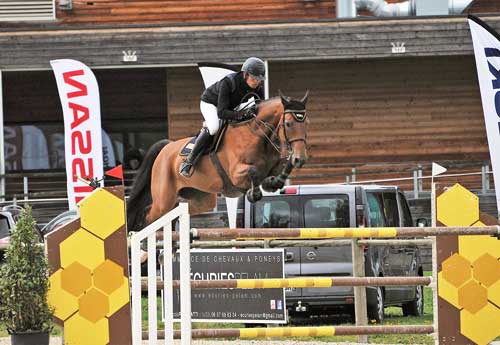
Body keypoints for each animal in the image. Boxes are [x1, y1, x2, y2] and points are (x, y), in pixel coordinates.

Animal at [126, 91, 308, 231]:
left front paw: (273, 183)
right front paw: (253, 193)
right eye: (288, 124)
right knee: (149, 215)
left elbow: (281, 169)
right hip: (163, 200)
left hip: (200, 199)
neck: (258, 135)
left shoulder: (273, 166)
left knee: (175, 214)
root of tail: (165, 148)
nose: (301, 158)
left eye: (307, 123)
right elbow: (253, 172)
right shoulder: (236, 174)